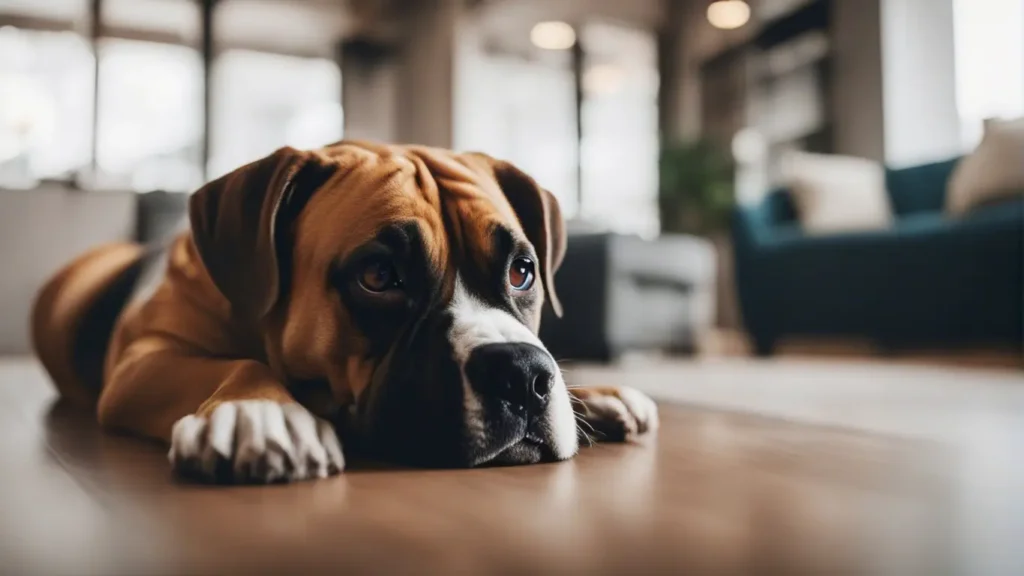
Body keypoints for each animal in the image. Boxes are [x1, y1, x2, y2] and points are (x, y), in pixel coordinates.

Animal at [32, 141, 659, 481]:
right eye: (378, 277)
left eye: (521, 272)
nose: (523, 374)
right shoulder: (144, 364)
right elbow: (231, 365)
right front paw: (260, 411)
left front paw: (597, 395)